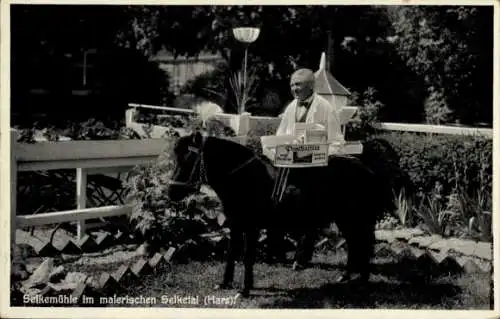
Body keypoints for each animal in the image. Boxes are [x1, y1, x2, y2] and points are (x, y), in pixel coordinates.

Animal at [168, 132, 394, 298]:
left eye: (189, 158)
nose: (171, 192)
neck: (244, 179)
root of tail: (366, 168)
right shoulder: (236, 224)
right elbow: (232, 253)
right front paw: (225, 283)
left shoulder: (251, 227)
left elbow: (247, 256)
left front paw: (245, 289)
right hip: (345, 219)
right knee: (355, 243)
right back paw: (347, 276)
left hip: (356, 218)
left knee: (362, 243)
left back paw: (363, 280)